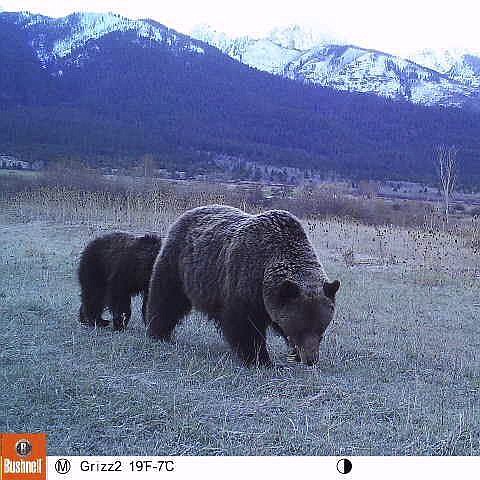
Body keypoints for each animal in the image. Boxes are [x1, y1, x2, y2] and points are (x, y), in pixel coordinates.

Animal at [146, 204, 338, 366]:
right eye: (300, 329)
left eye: (321, 330)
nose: (311, 359)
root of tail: (187, 213)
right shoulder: (245, 281)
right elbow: (245, 326)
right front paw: (260, 359)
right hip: (178, 263)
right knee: (167, 299)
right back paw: (158, 332)